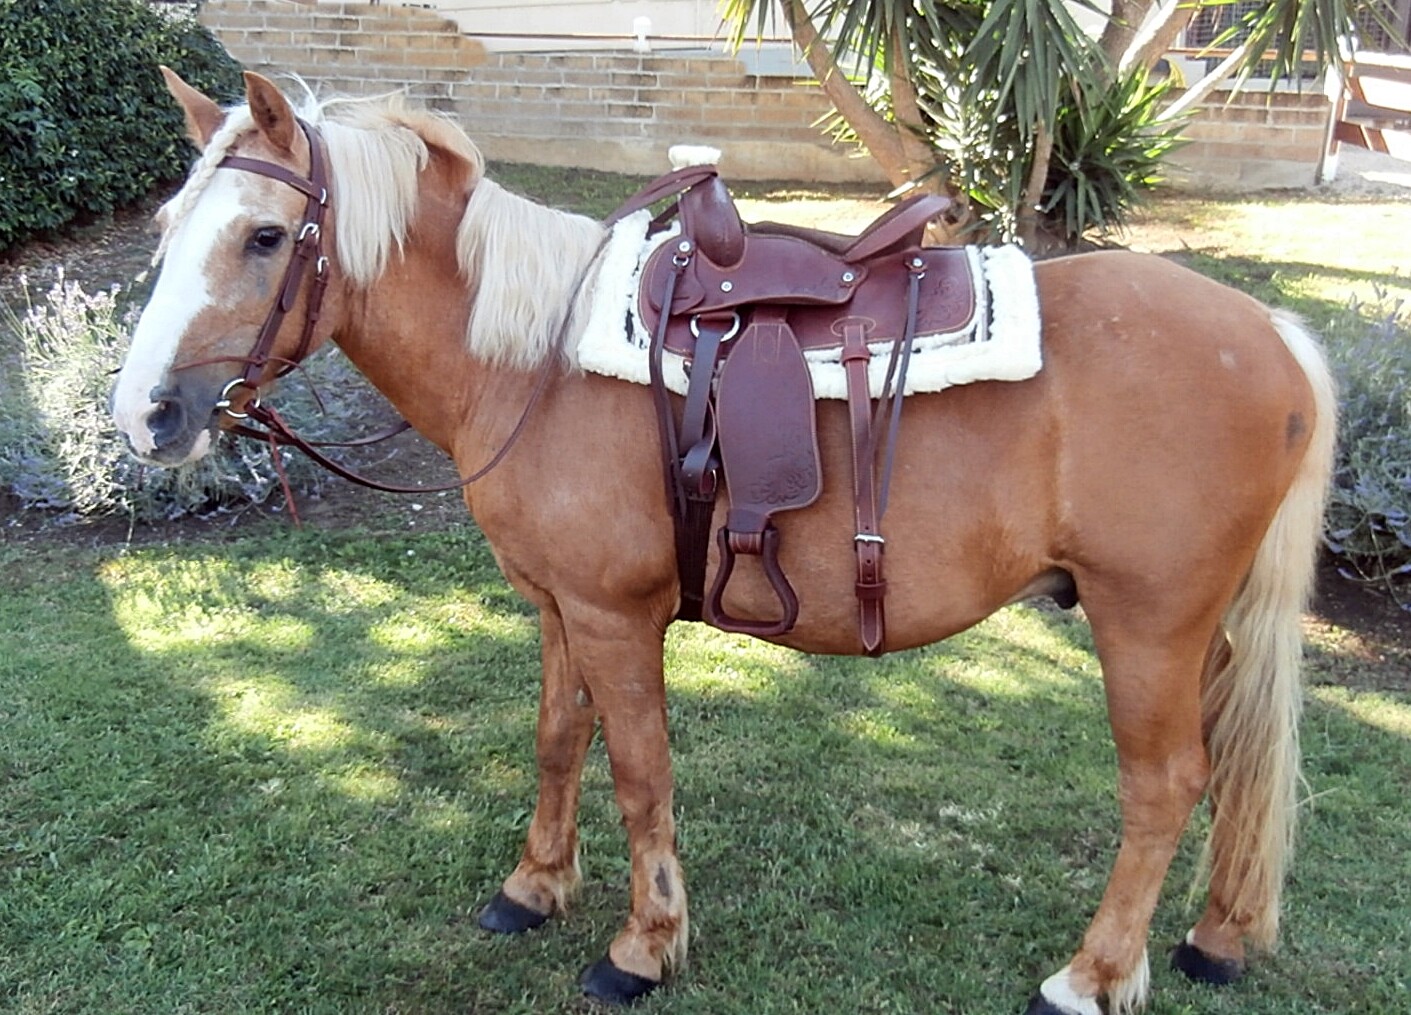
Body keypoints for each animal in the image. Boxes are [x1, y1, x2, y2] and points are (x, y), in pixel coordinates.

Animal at [112, 69, 1337, 1015]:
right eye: (169, 232)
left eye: (266, 237)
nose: (143, 416)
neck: (535, 360)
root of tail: (1271, 333)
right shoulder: (558, 605)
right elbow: (558, 739)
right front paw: (532, 887)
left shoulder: (615, 615)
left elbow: (640, 770)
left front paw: (642, 946)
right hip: (1200, 631)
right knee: (1233, 756)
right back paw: (1218, 935)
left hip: (1145, 624)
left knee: (1165, 783)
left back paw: (1091, 975)